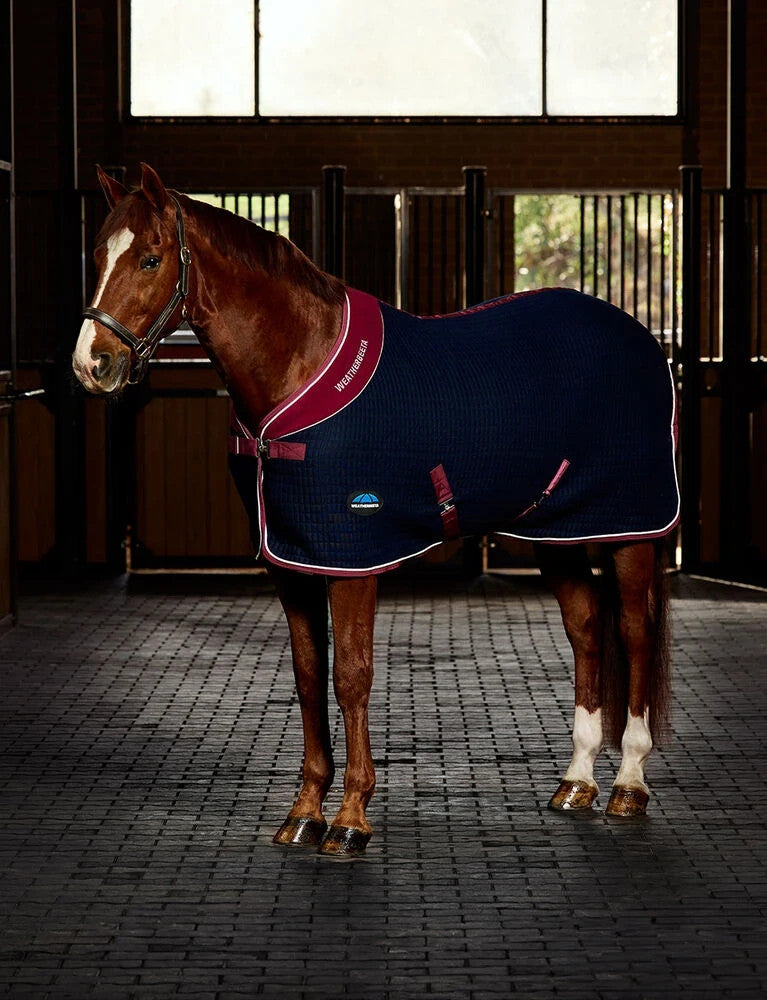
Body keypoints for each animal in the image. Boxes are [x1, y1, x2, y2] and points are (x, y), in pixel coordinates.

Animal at [73, 163, 676, 857]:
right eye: (98, 255)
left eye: (149, 258)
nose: (92, 363)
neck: (298, 365)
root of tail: (639, 338)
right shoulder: (292, 563)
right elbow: (309, 677)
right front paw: (304, 812)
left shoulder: (352, 560)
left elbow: (351, 677)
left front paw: (351, 817)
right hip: (558, 534)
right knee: (586, 631)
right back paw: (576, 782)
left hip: (630, 529)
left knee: (634, 632)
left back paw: (629, 783)